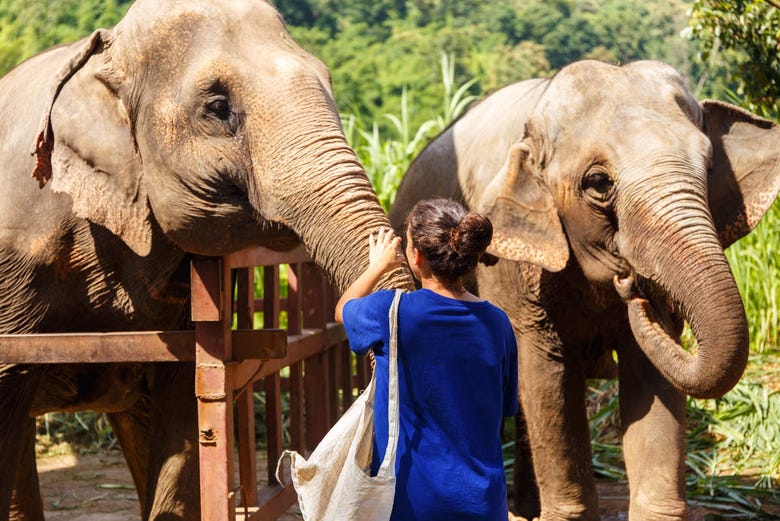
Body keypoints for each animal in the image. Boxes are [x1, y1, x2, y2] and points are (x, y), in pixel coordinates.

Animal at [390, 59, 780, 516]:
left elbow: (651, 375)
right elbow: (546, 376)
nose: (633, 284)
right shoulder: (511, 270)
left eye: (710, 165)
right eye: (598, 182)